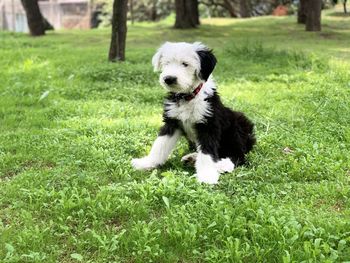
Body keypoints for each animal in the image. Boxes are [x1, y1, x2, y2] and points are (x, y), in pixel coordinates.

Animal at [131, 42, 254, 185]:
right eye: (166, 63)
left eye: (185, 64)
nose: (169, 79)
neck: (187, 97)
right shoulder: (171, 122)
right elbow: (160, 145)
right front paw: (147, 163)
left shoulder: (208, 125)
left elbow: (207, 153)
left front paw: (207, 175)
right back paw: (192, 158)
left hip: (237, 126)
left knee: (238, 155)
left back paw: (223, 165)